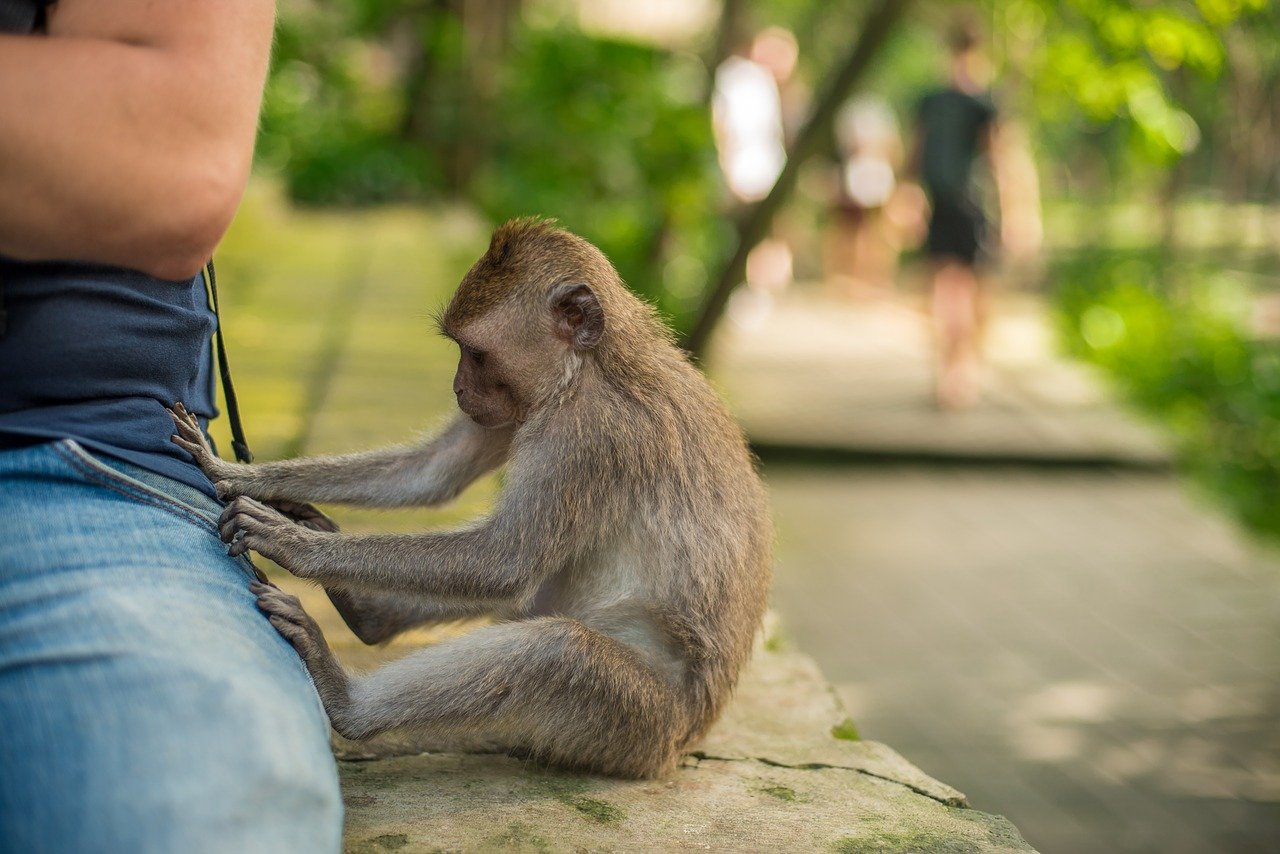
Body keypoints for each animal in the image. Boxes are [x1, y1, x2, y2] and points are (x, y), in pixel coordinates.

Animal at [170, 220, 768, 783]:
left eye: (476, 353)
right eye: (460, 350)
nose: (457, 388)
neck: (587, 367)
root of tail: (681, 746)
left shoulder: (589, 436)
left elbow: (504, 562)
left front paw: (293, 545)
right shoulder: (521, 409)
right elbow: (436, 470)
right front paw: (246, 476)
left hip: (637, 725)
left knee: (555, 648)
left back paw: (349, 702)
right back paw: (368, 613)